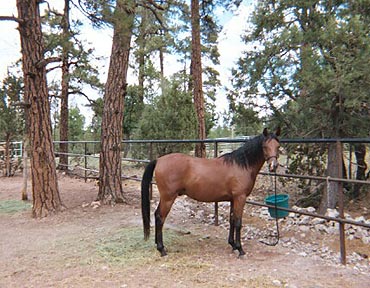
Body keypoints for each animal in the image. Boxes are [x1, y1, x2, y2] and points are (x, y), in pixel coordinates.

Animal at [142, 128, 280, 256]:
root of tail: (159, 160)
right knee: (160, 218)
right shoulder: (240, 198)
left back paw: (158, 245)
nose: (273, 166)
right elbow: (238, 222)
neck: (240, 166)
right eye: (265, 146)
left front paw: (233, 244)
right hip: (168, 198)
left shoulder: (233, 199)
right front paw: (240, 249)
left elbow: (232, 220)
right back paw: (162, 249)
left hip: (165, 198)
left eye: (278, 146)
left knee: (156, 215)